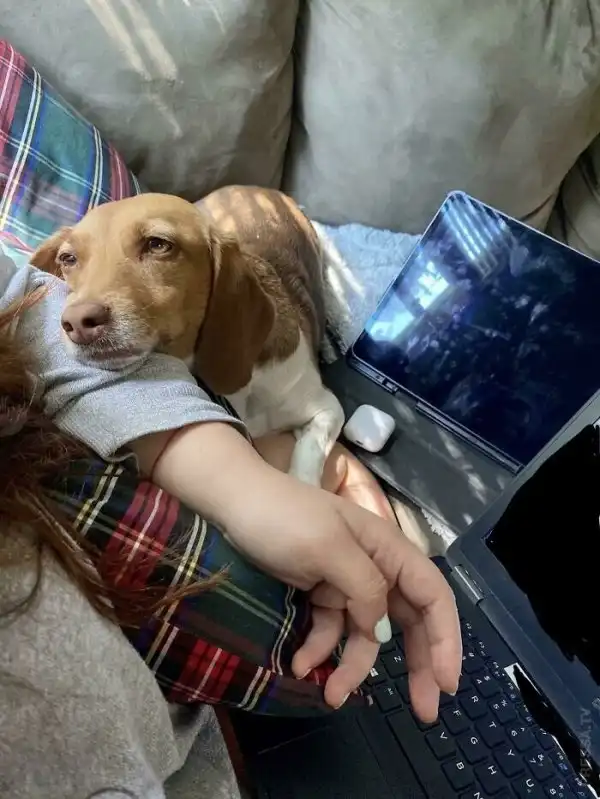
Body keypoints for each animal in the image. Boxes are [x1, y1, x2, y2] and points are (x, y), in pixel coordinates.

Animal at [30, 186, 345, 487]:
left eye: (158, 244)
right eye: (68, 258)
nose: (77, 322)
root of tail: (264, 189)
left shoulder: (327, 406)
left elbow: (309, 448)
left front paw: (305, 485)